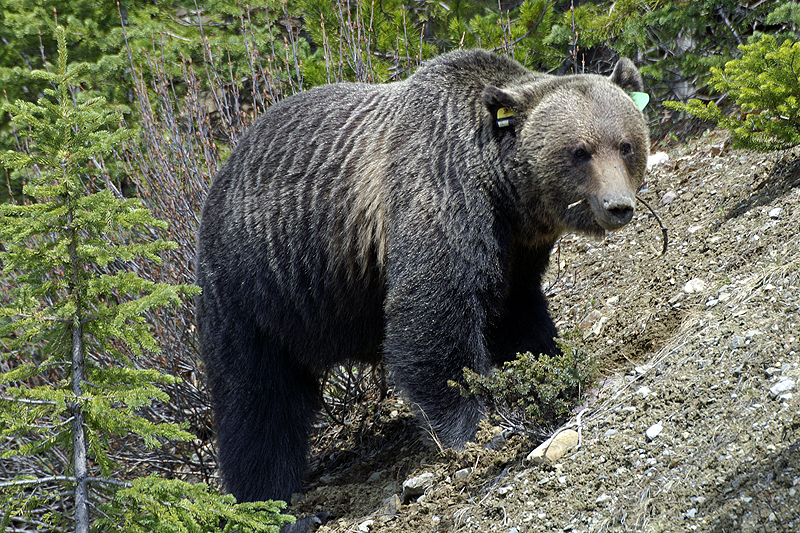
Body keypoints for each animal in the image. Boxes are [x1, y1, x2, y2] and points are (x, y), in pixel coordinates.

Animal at [195, 48, 648, 502]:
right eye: (580, 151)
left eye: (625, 145)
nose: (617, 205)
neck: (505, 194)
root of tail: (222, 172)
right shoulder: (443, 195)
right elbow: (432, 315)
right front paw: (476, 427)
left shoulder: (516, 253)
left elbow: (517, 316)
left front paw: (550, 370)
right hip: (254, 288)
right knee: (257, 399)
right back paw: (264, 493)